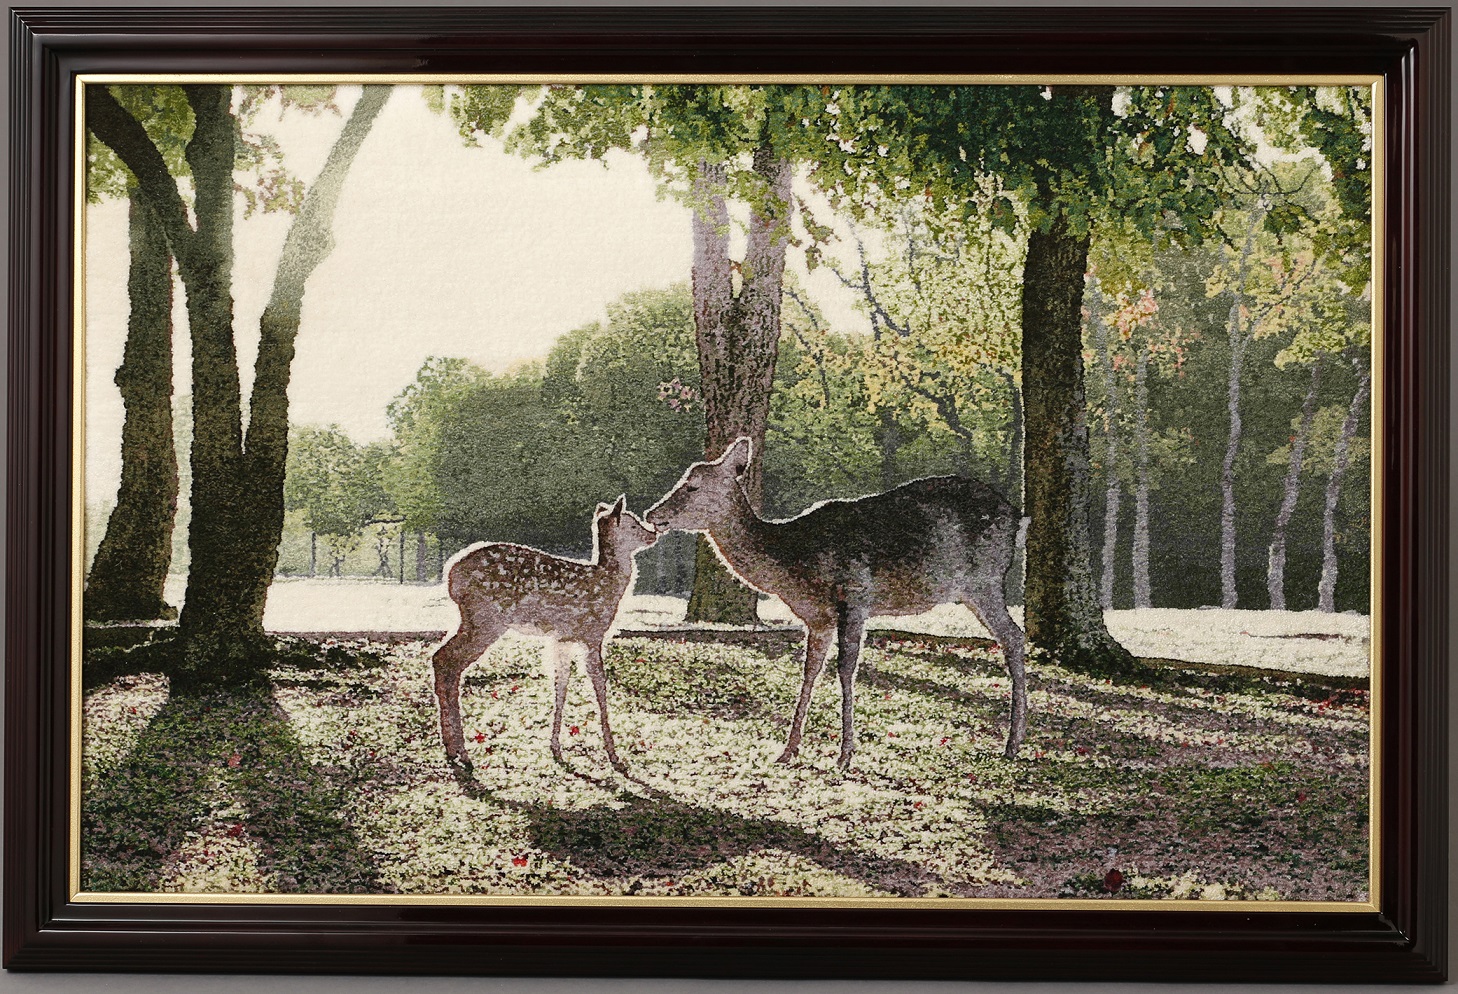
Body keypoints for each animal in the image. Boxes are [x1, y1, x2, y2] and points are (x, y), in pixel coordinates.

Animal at [431, 495, 659, 773]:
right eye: (633, 523)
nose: (653, 533)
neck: (607, 584)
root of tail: (450, 575)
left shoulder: (562, 638)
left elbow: (561, 685)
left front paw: (556, 748)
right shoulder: (592, 634)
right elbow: (600, 687)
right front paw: (613, 754)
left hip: (470, 619)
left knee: (440, 657)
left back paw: (451, 749)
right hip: (485, 619)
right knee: (448, 661)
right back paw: (462, 753)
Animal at [646, 437, 1027, 768]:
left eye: (693, 485)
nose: (652, 514)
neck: (793, 566)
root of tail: (1019, 520)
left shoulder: (854, 596)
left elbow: (846, 668)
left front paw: (844, 755)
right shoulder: (817, 618)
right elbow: (810, 669)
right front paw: (788, 750)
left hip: (985, 581)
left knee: (1014, 636)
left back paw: (1012, 744)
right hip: (974, 591)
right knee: (1013, 636)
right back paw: (1014, 741)